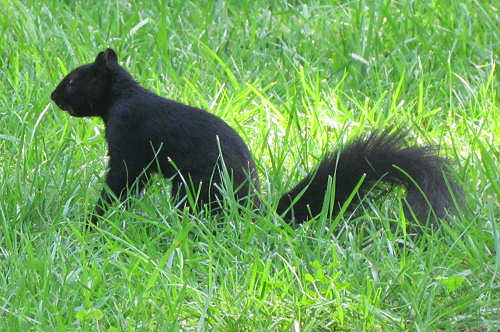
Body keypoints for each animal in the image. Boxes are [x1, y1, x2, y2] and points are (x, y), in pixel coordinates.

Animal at [49, 48, 460, 226]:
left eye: (72, 81)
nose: (53, 97)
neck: (122, 96)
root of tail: (253, 210)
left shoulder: (129, 140)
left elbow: (121, 182)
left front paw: (92, 222)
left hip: (195, 189)